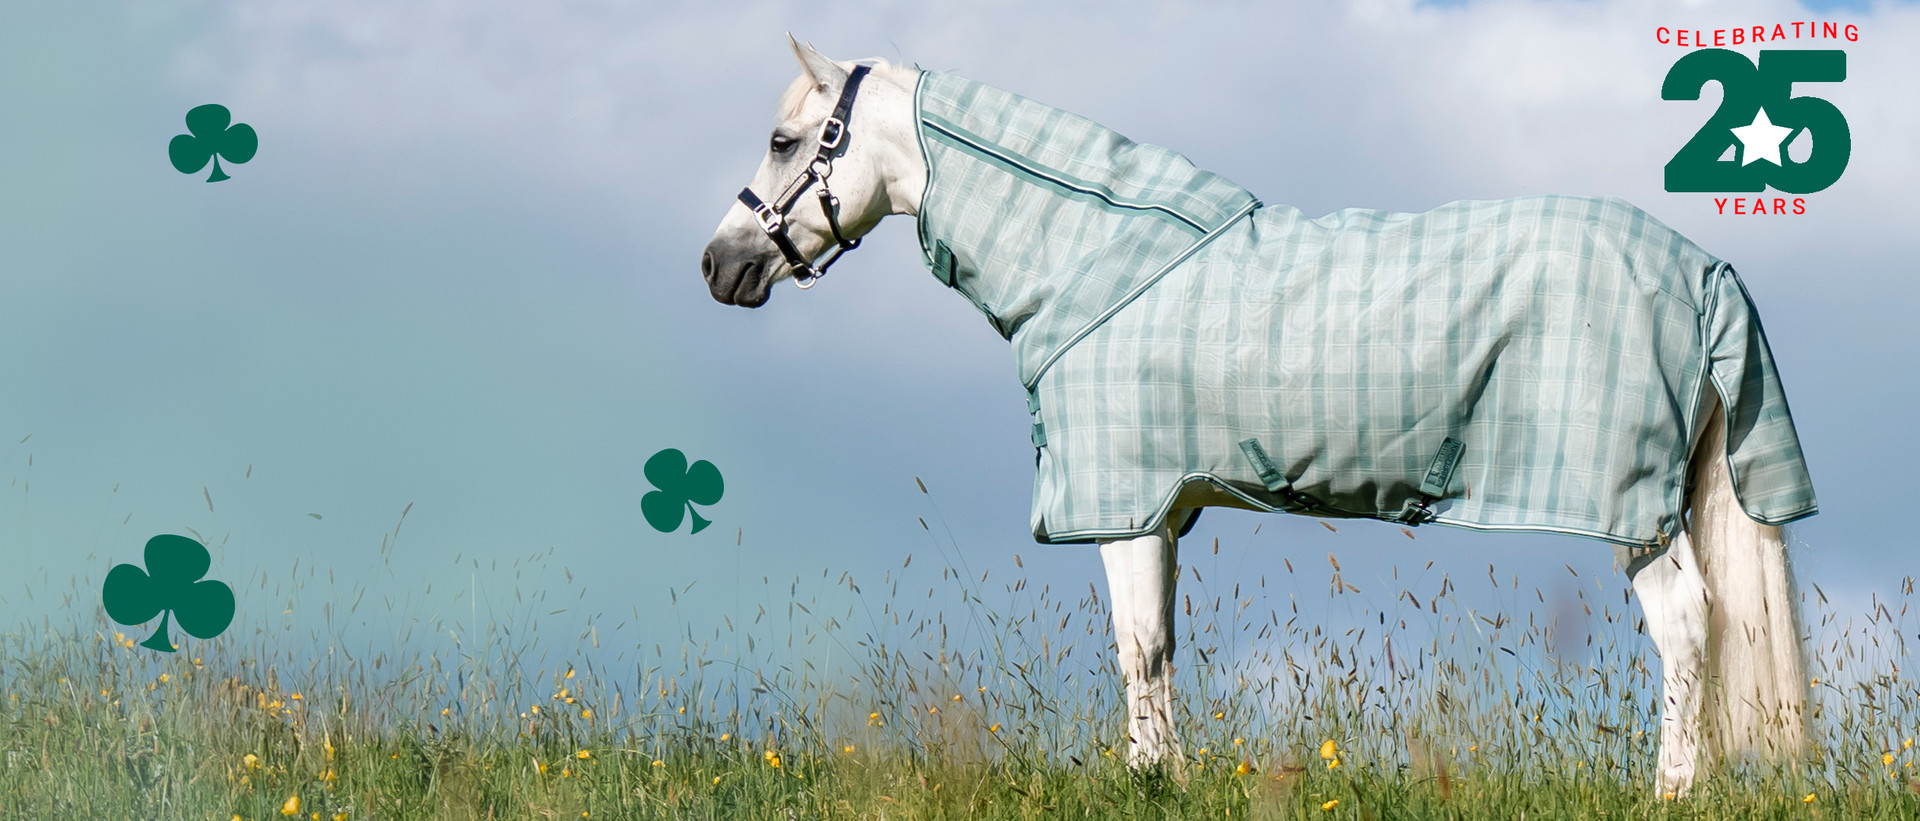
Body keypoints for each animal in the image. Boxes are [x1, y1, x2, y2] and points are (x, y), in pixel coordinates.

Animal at [699, 38, 1816, 796]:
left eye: (786, 140)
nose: (720, 265)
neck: (1098, 262)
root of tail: (1701, 267)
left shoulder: (1124, 506)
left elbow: (1136, 647)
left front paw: (1148, 778)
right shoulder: (1165, 511)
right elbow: (1161, 644)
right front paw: (1167, 773)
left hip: (1630, 513)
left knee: (1689, 626)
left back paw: (1670, 791)